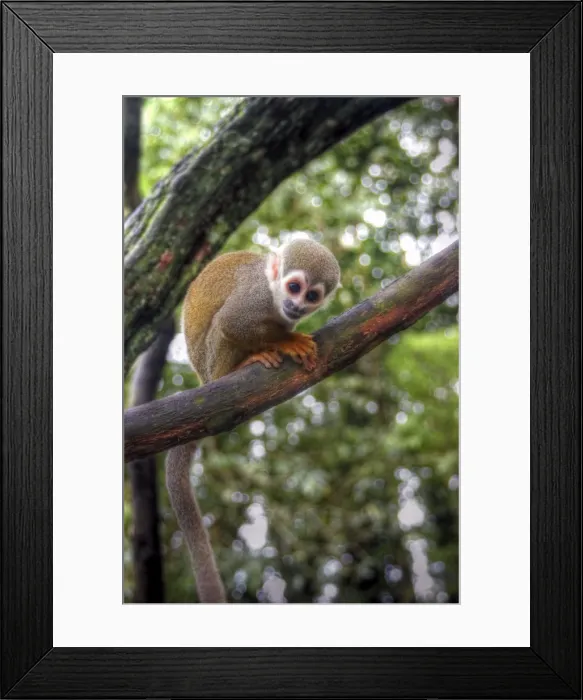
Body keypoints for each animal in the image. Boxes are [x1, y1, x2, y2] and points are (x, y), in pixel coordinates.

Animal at [165, 236, 341, 603]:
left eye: (312, 296)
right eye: (294, 287)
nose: (297, 306)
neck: (274, 296)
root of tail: (204, 379)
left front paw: (288, 336)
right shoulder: (254, 296)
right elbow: (231, 323)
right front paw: (287, 341)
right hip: (213, 363)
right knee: (223, 330)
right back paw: (246, 362)